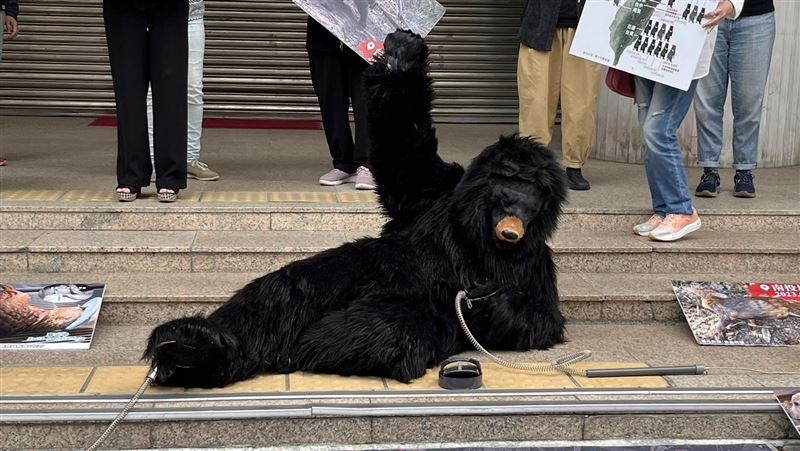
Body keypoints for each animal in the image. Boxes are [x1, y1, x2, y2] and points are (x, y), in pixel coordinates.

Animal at [144, 30, 568, 388]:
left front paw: (493, 300)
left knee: (388, 329)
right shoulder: (434, 191)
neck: (475, 233)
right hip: (355, 268)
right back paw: (197, 348)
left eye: (532, 193)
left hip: (409, 313)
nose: (514, 218)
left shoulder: (537, 263)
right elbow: (404, 152)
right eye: (508, 184)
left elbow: (541, 319)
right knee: (286, 292)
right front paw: (401, 57)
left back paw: (317, 344)